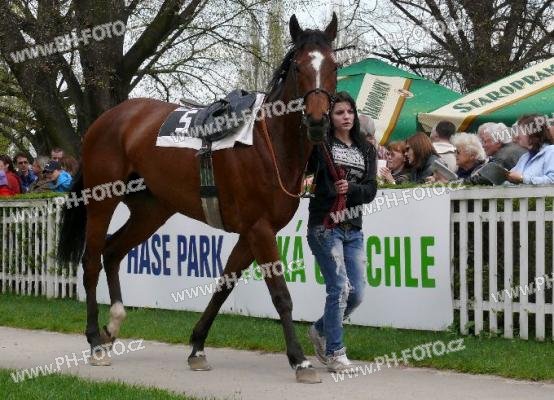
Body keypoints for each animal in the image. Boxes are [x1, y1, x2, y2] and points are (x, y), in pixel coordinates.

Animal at [57, 13, 338, 384]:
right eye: (298, 67)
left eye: (333, 66)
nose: (318, 121)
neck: (270, 144)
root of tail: (105, 120)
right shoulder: (260, 229)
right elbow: (280, 294)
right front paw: (300, 361)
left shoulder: (251, 233)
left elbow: (224, 286)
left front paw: (197, 347)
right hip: (102, 198)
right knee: (91, 259)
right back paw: (94, 341)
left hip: (152, 210)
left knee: (113, 251)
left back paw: (113, 324)